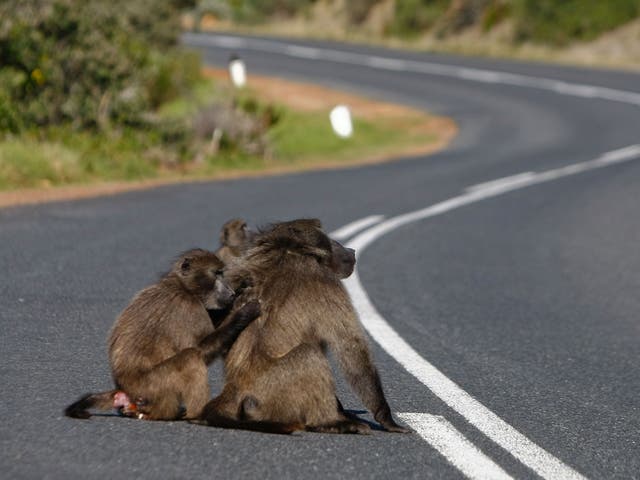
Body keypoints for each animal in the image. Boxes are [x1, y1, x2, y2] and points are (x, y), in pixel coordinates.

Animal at [65, 248, 261, 422]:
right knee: (190, 357)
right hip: (152, 388)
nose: (230, 292)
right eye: (217, 273)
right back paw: (197, 415)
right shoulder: (188, 308)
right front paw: (244, 313)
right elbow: (200, 350)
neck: (181, 285)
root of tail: (125, 389)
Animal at [197, 219, 408, 434]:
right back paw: (331, 423)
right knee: (309, 353)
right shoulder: (327, 282)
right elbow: (352, 349)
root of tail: (234, 390)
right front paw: (387, 419)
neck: (289, 253)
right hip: (274, 387)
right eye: (331, 241)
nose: (351, 250)